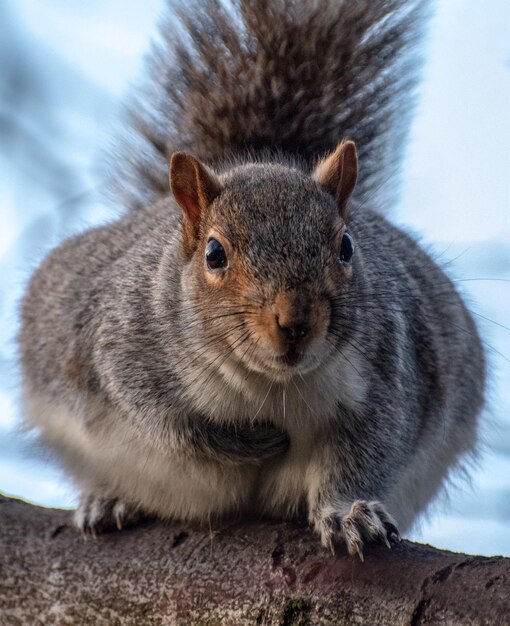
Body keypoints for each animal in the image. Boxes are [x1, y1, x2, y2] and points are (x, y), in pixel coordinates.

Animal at [16, 0, 486, 556]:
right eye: (214, 254)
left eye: (346, 247)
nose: (296, 321)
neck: (271, 384)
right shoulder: (124, 349)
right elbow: (170, 424)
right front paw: (252, 442)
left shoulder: (386, 375)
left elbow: (365, 453)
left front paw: (348, 513)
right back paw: (109, 499)